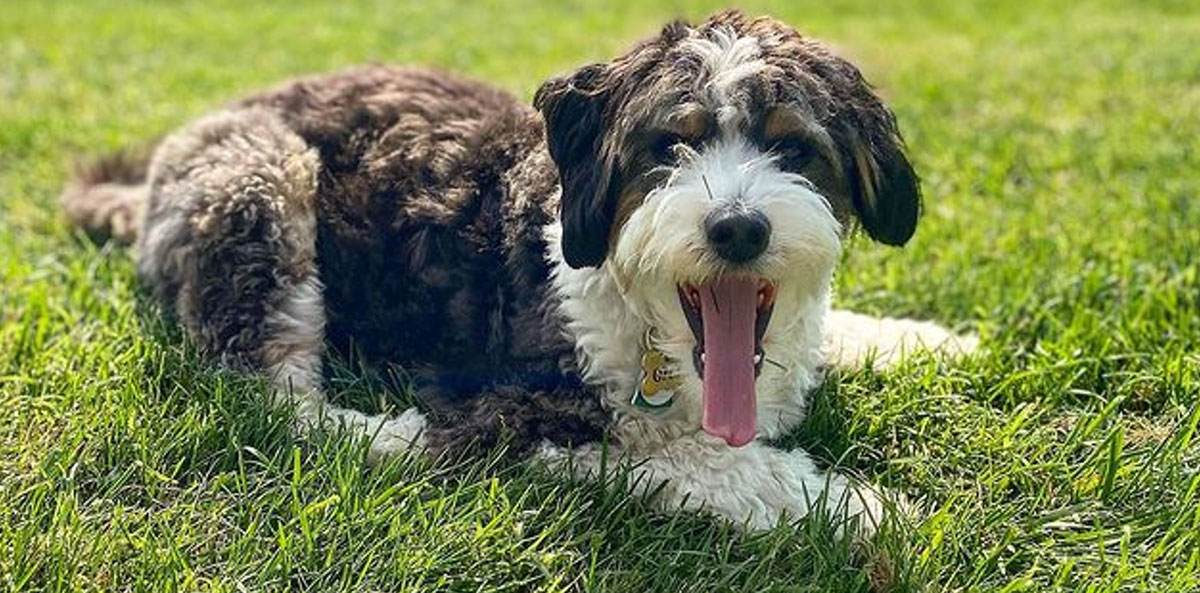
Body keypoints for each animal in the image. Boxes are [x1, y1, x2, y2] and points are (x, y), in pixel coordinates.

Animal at [60, 10, 969, 532]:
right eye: (669, 145)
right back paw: (387, 432)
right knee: (271, 393)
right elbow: (710, 464)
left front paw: (926, 341)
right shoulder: (531, 412)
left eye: (793, 148)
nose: (738, 227)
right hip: (258, 180)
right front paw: (862, 505)